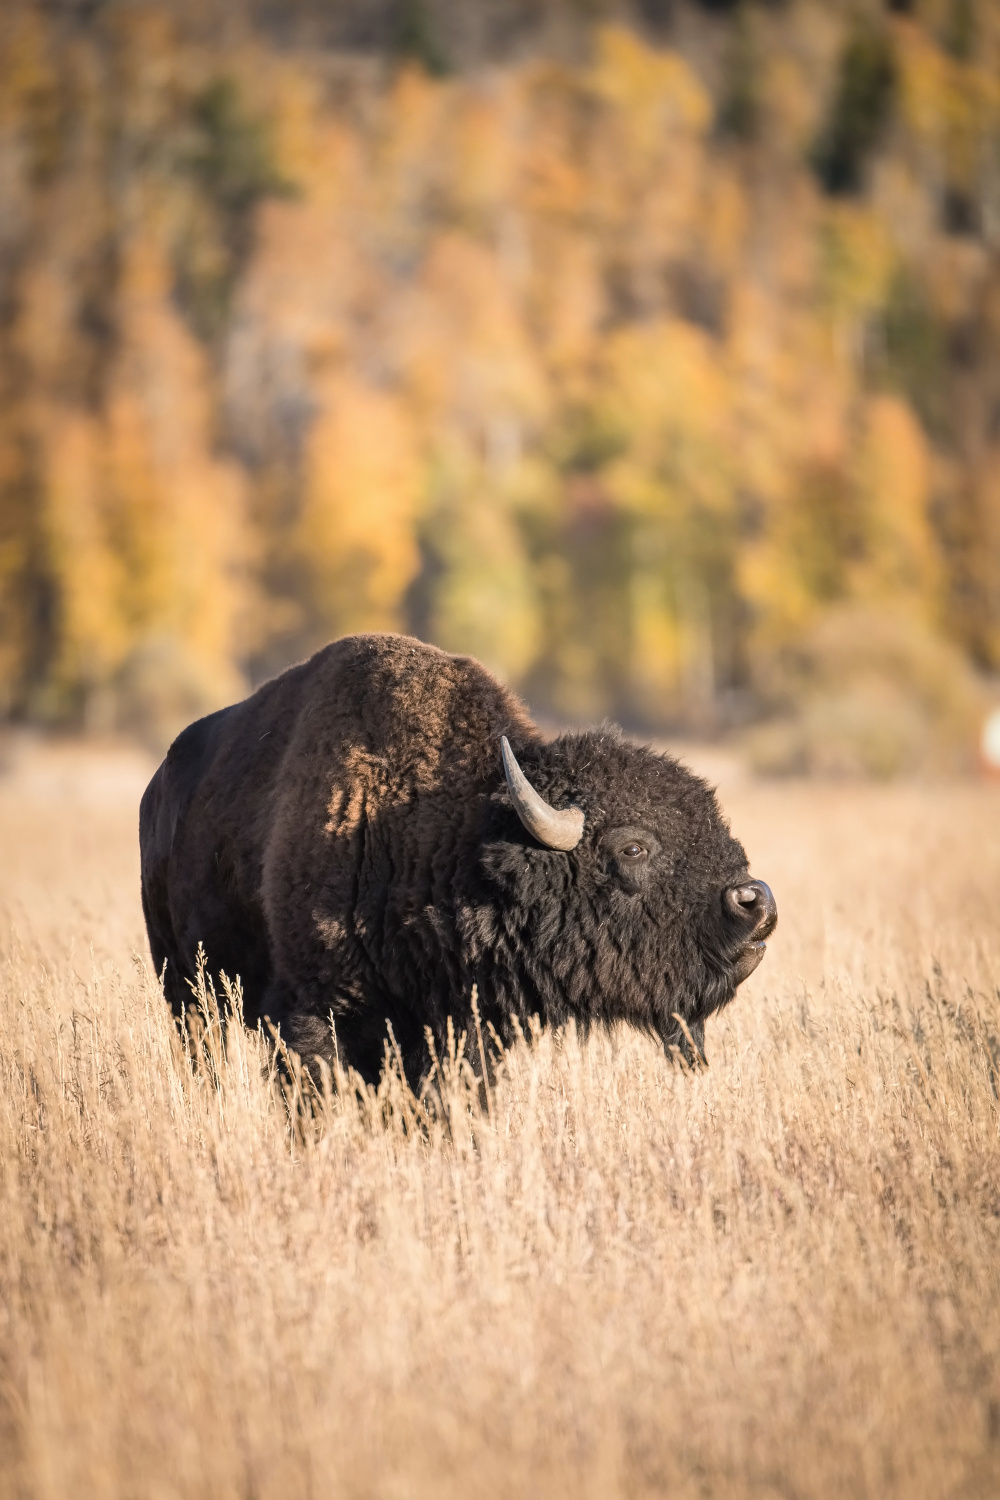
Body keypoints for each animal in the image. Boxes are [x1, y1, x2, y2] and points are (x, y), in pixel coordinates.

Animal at [138, 633, 773, 1080]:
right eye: (633, 847)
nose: (754, 904)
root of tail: (157, 789)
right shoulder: (311, 1016)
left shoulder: (456, 1028)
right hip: (186, 993)